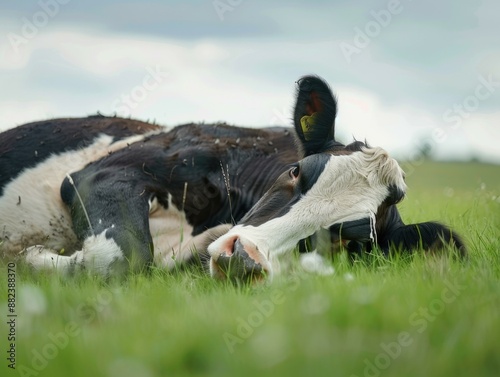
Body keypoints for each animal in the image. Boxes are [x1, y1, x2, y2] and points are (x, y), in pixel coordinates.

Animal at [0, 75, 464, 280]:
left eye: (352, 241)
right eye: (296, 172)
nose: (243, 256)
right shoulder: (103, 172)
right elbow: (121, 255)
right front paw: (31, 258)